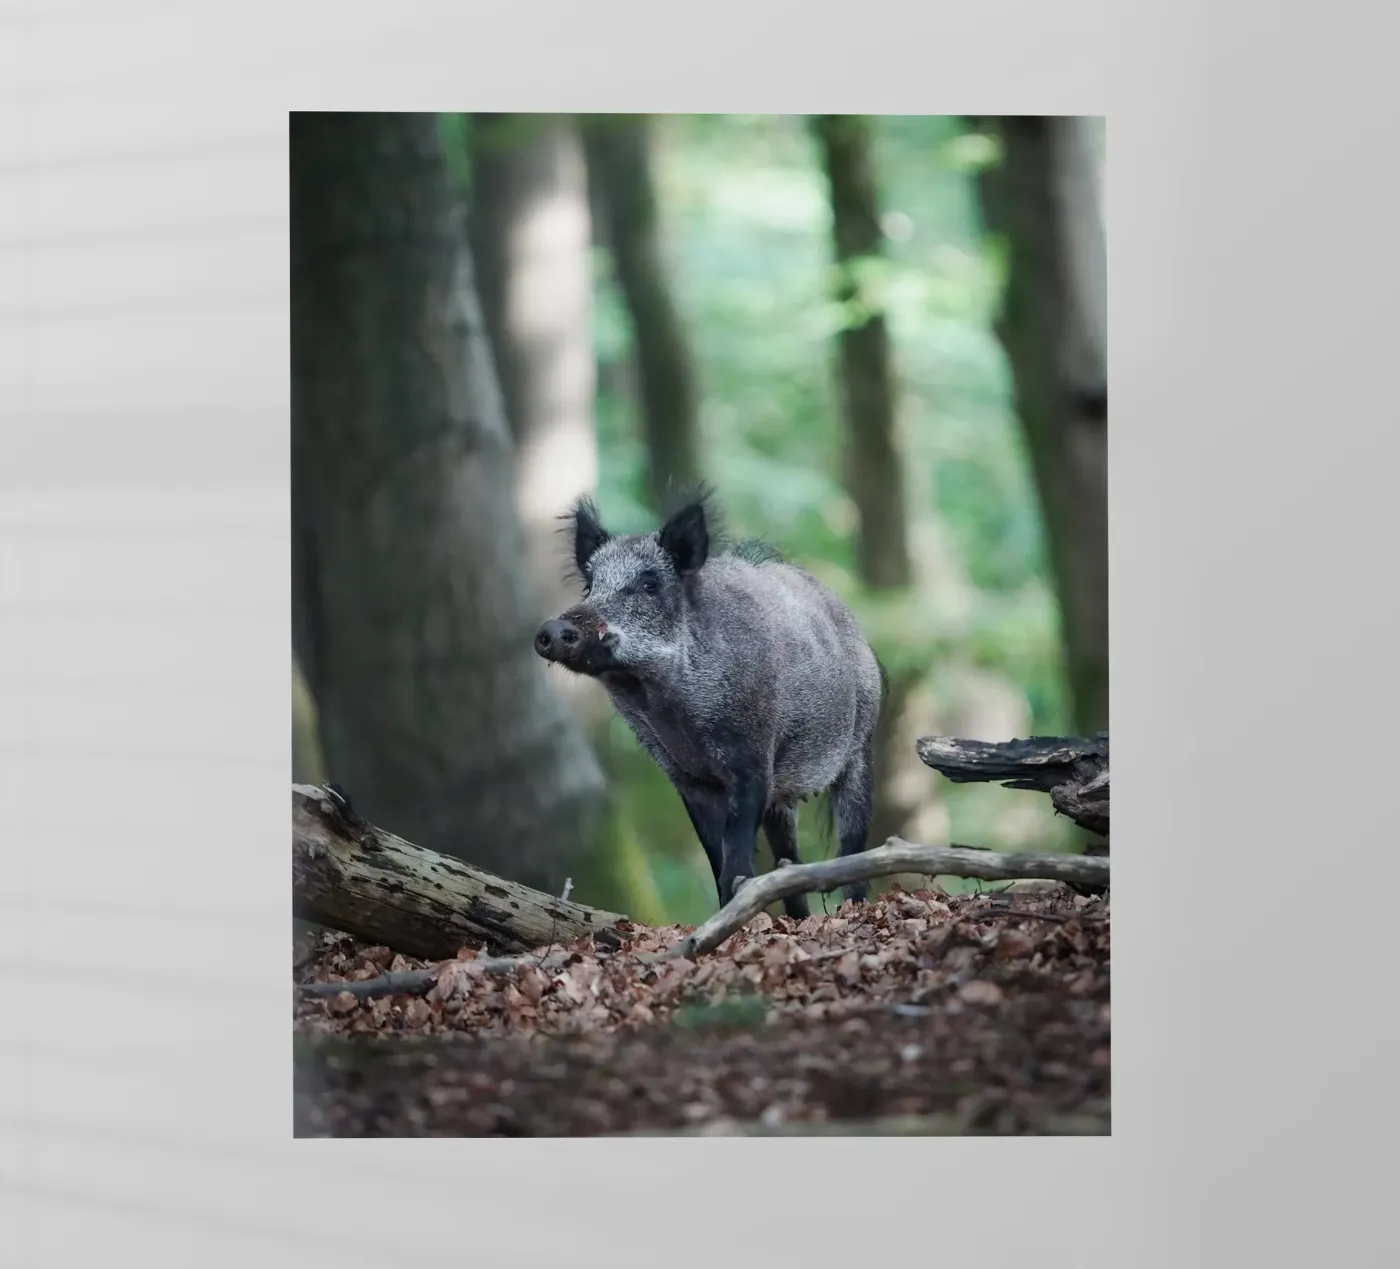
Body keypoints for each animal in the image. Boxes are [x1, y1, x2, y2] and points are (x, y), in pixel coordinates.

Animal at [533, 490, 885, 917]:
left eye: (649, 584)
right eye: (589, 586)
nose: (554, 628)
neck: (670, 706)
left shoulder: (753, 757)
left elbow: (736, 852)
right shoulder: (686, 777)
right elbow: (715, 855)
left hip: (861, 744)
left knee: (853, 841)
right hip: (784, 796)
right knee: (789, 859)